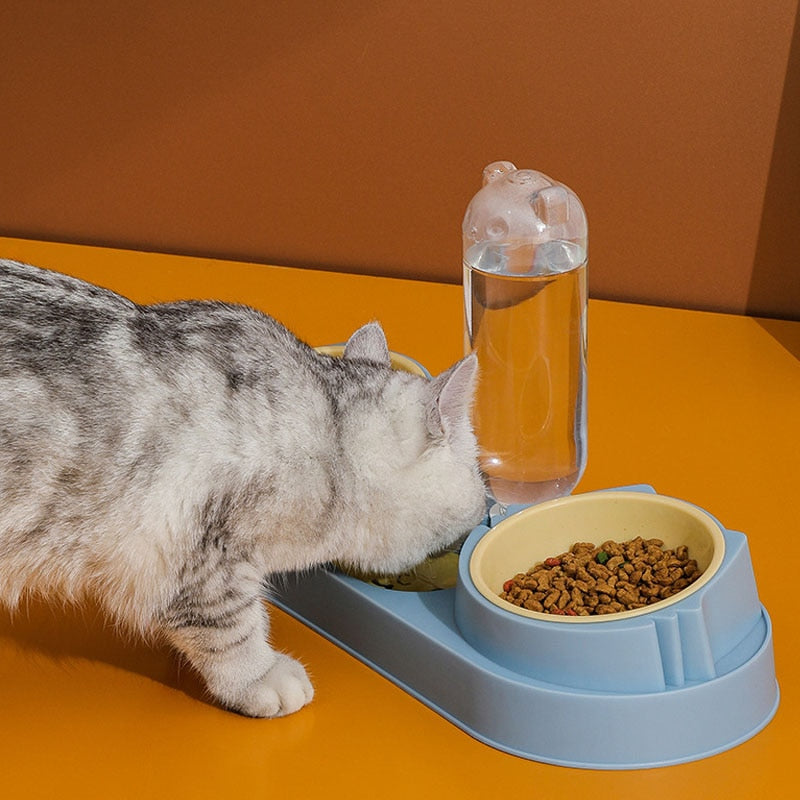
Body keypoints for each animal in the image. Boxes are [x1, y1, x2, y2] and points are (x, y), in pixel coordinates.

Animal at [1, 260, 488, 720]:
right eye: (481, 488)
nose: (485, 514)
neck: (329, 437)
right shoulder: (196, 556)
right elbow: (230, 627)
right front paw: (260, 677)